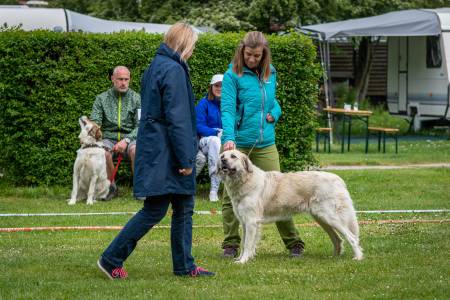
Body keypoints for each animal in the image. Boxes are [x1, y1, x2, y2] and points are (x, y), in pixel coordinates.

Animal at [218, 150, 362, 262]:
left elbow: (247, 244)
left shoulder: (251, 221)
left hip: (330, 217)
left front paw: (243, 261)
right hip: (322, 219)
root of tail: (338, 179)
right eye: (222, 156)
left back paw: (358, 257)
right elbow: (244, 243)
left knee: (352, 237)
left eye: (233, 156)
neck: (245, 180)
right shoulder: (244, 222)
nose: (223, 160)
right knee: (338, 239)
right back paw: (335, 257)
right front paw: (243, 258)